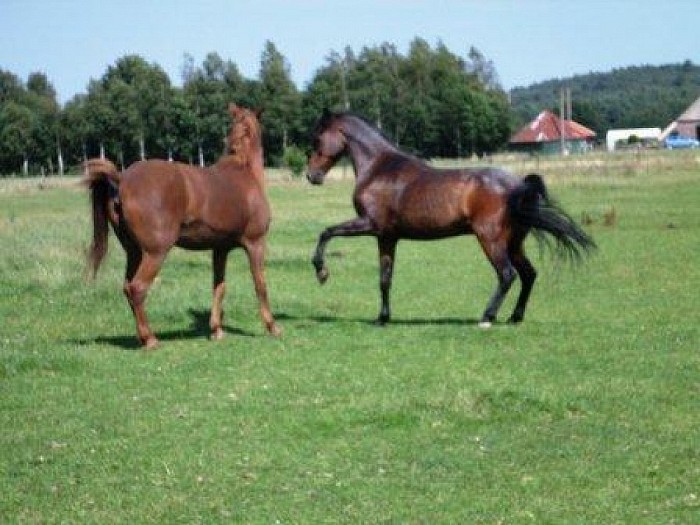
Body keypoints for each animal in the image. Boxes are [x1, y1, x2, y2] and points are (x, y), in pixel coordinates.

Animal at [83, 103, 281, 349]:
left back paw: (143, 336)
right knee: (137, 288)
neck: (244, 171)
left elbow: (219, 287)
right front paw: (272, 326)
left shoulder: (220, 249)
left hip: (134, 252)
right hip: (155, 253)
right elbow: (260, 284)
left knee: (127, 287)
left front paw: (216, 329)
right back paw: (150, 339)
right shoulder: (255, 244)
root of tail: (121, 179)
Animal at [306, 110, 595, 327]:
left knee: (507, 275)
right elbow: (385, 279)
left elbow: (326, 232)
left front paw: (322, 272)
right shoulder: (387, 237)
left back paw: (487, 317)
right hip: (514, 243)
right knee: (528, 274)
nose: (311, 176)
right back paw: (515, 317)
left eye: (317, 138)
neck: (379, 168)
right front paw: (382, 319)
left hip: (490, 240)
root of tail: (518, 185)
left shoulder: (370, 225)